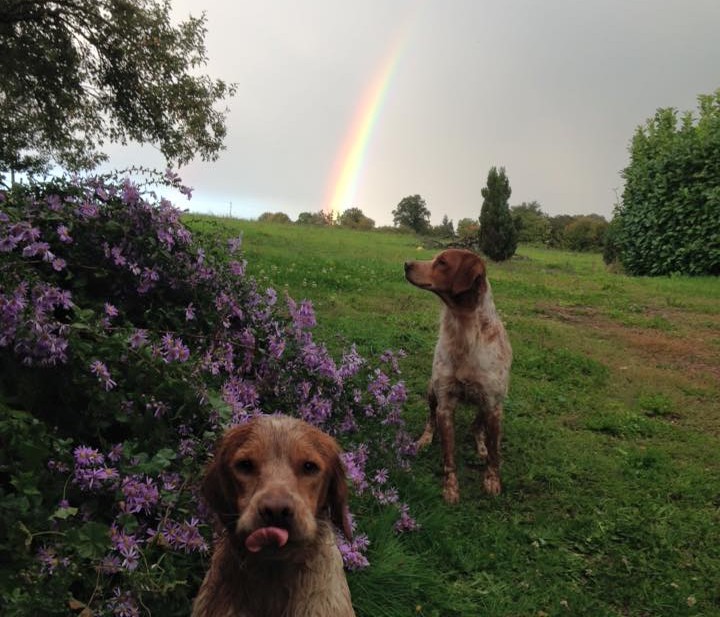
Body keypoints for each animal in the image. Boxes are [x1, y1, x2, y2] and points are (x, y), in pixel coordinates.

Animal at [404, 248, 512, 502]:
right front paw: (451, 488)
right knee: (430, 419)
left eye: (442, 262)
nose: (406, 264)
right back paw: (424, 439)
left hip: (491, 404)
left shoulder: (493, 405)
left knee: (477, 428)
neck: (464, 330)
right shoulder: (445, 404)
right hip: (431, 390)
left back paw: (481, 447)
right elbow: (449, 457)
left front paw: (492, 480)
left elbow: (495, 453)